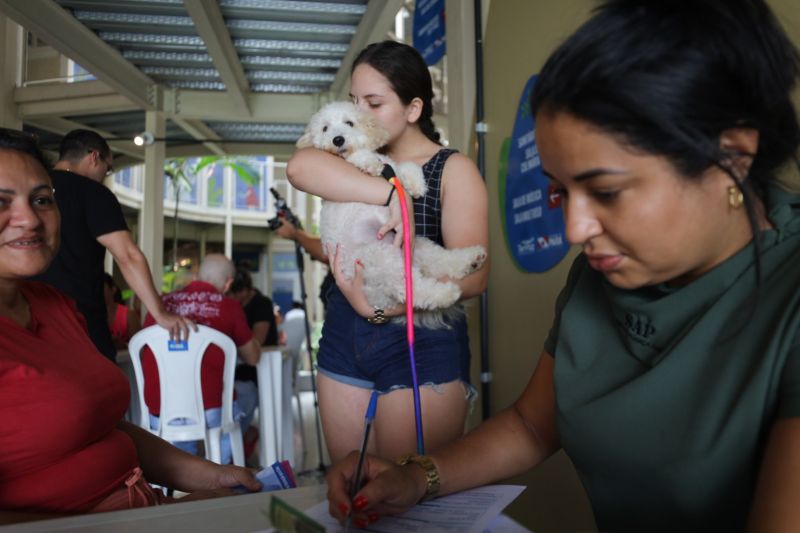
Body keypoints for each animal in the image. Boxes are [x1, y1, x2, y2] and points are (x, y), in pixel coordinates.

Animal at [296, 99, 488, 324]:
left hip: (418, 245)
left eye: (349, 123)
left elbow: (404, 166)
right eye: (325, 128)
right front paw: (370, 162)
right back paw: (446, 293)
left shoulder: (392, 167)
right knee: (410, 289)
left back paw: (472, 259)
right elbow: (362, 158)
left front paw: (415, 184)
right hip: (381, 257)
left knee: (443, 260)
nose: (338, 139)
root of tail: (378, 296)